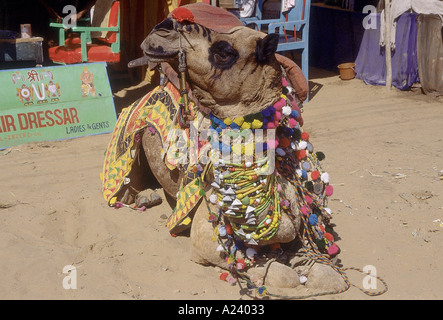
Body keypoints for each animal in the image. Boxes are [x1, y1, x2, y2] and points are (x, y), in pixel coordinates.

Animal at [99, 3, 386, 298]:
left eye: (224, 52)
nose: (163, 28)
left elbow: (322, 268)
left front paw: (309, 263)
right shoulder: (204, 235)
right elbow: (270, 269)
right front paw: (269, 271)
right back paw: (142, 197)